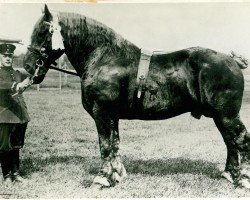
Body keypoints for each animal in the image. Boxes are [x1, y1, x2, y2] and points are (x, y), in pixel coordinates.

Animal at [23, 5, 250, 189]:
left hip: (227, 115)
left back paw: (243, 180)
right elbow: (115, 144)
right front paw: (116, 175)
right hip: (220, 116)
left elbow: (105, 145)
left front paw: (102, 179)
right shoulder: (112, 116)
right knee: (230, 142)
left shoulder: (102, 113)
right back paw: (229, 175)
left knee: (241, 141)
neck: (105, 58)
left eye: (42, 32)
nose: (27, 65)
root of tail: (232, 61)